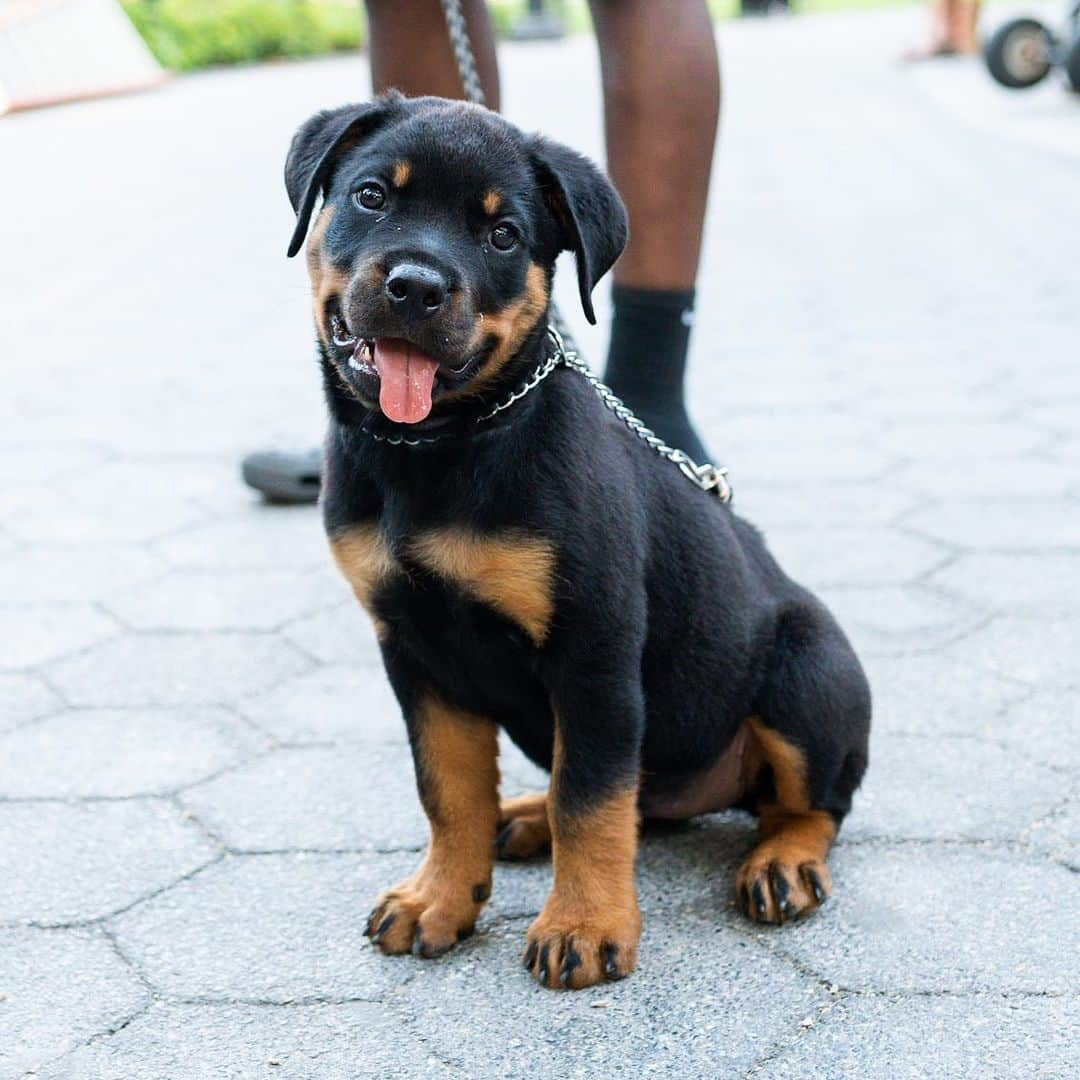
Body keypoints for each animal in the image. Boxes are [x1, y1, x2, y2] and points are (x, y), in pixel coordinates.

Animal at [285, 92, 868, 989]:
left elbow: (591, 798)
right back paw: (522, 818)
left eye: (503, 235)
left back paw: (782, 864)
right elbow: (449, 789)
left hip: (809, 674)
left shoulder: (591, 649)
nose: (415, 287)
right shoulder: (413, 649)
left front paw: (585, 928)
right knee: (635, 801)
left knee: (810, 802)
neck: (440, 451)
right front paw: (439, 899)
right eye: (372, 197)